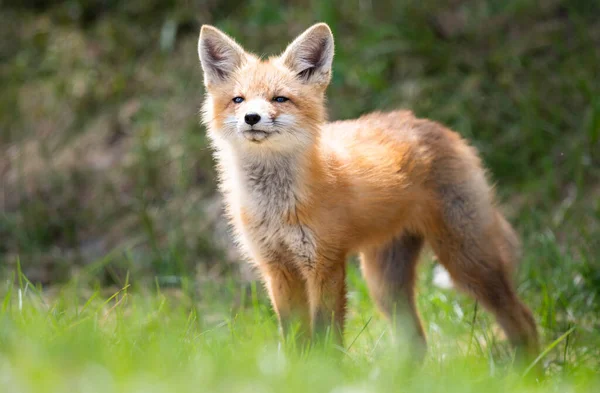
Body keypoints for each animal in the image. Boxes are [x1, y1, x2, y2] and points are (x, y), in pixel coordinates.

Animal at [197, 22, 540, 362]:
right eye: (238, 100)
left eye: (280, 99)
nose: (251, 118)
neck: (276, 207)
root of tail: (436, 126)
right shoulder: (277, 268)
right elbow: (295, 339)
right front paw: (297, 371)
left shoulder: (325, 264)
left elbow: (325, 337)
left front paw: (324, 370)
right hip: (385, 284)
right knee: (417, 342)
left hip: (466, 261)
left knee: (523, 319)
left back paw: (529, 368)